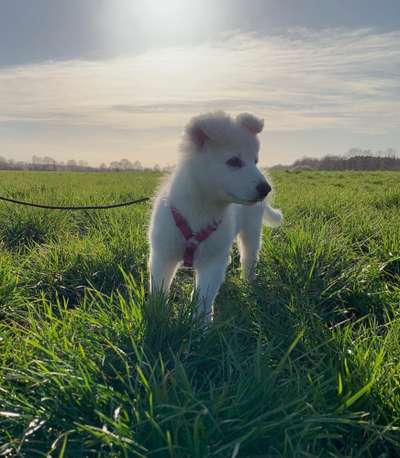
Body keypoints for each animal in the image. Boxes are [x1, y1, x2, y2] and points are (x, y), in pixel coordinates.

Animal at [148, 112, 282, 322]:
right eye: (234, 161)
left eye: (255, 161)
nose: (266, 189)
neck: (202, 210)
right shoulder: (162, 255)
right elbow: (159, 290)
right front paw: (157, 317)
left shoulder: (212, 261)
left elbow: (204, 296)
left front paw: (200, 324)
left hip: (251, 230)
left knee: (248, 257)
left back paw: (248, 283)